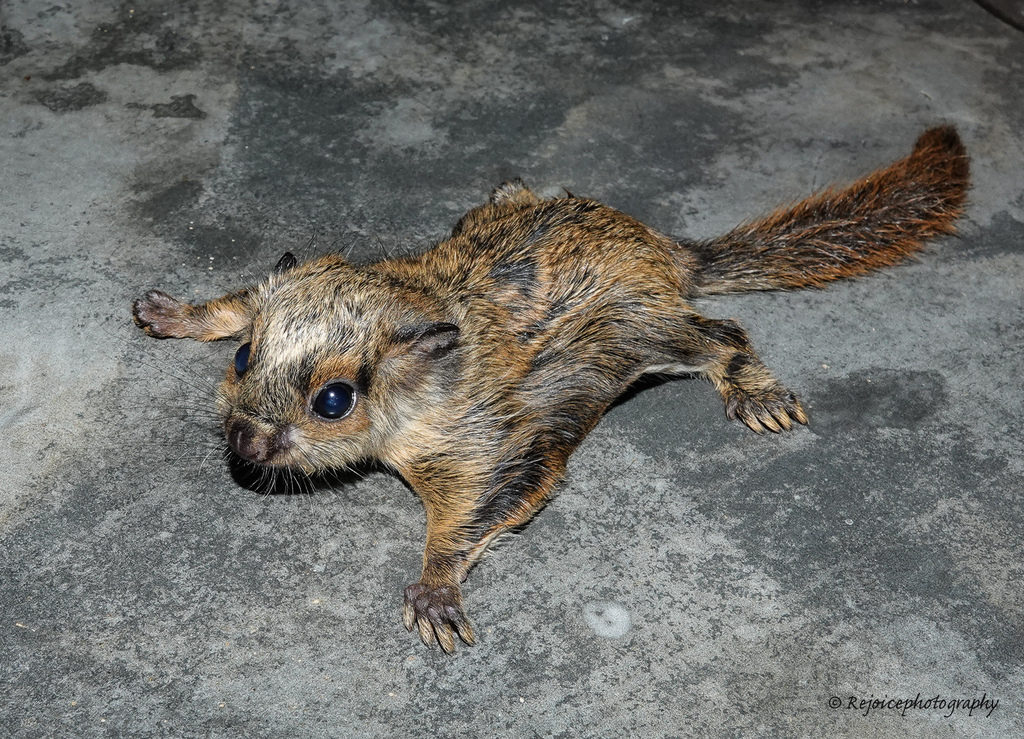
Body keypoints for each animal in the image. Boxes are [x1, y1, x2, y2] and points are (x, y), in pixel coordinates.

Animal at [133, 126, 969, 653]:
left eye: (334, 401)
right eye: (243, 358)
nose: (243, 440)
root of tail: (664, 248)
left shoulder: (488, 438)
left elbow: (480, 509)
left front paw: (436, 589)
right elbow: (242, 296)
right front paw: (176, 311)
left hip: (641, 331)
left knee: (722, 332)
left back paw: (753, 389)